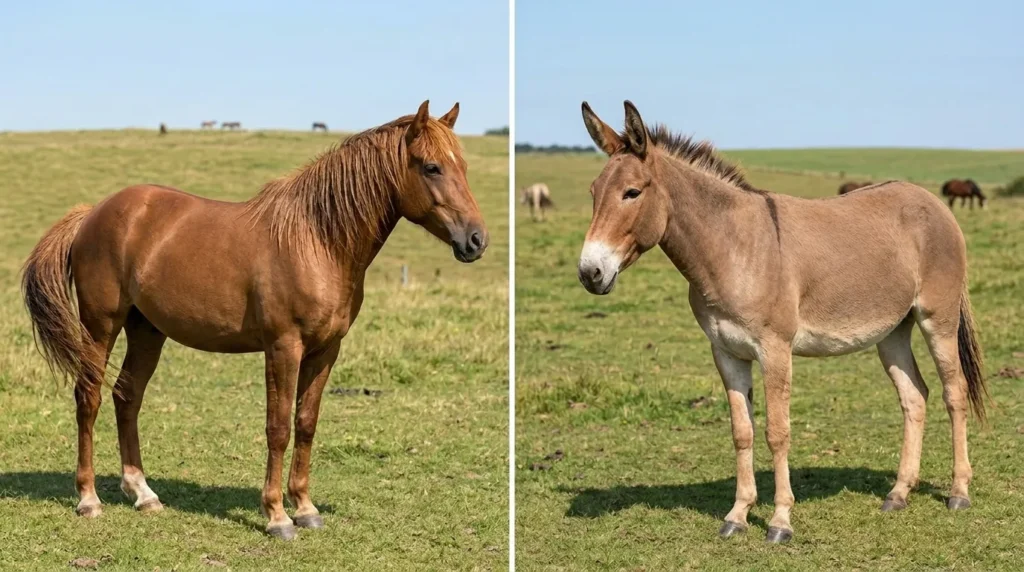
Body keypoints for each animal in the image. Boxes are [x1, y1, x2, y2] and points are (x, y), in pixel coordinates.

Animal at [21, 100, 487, 541]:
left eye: (463, 166)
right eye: (431, 167)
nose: (476, 240)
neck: (316, 241)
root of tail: (92, 213)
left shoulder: (326, 350)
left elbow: (306, 423)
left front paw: (306, 509)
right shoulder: (283, 346)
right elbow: (278, 427)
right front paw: (277, 516)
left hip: (147, 330)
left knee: (126, 396)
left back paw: (143, 493)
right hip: (100, 326)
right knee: (89, 397)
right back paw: (88, 499)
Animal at [577, 101, 987, 544]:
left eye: (632, 192)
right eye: (593, 192)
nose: (589, 273)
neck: (733, 248)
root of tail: (929, 199)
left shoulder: (775, 349)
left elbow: (777, 431)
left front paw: (780, 521)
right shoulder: (726, 352)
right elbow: (742, 432)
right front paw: (737, 515)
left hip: (937, 319)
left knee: (954, 392)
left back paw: (959, 492)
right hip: (892, 330)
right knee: (915, 397)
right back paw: (898, 493)